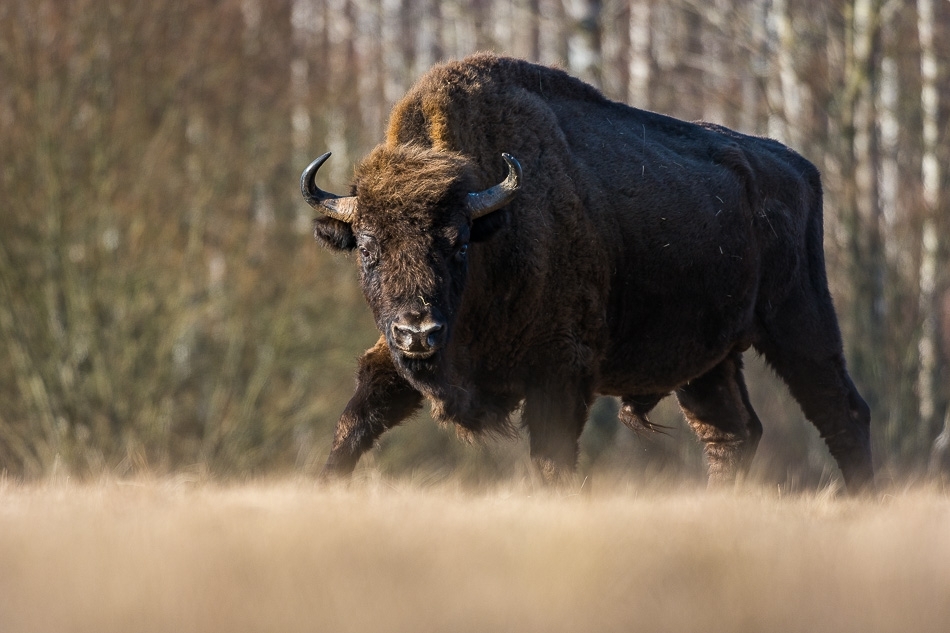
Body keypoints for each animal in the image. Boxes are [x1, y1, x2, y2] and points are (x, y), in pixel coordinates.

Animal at [300, 53, 873, 491]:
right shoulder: (393, 358)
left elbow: (552, 461)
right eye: (367, 247)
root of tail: (800, 168)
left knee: (842, 412)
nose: (417, 331)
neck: (496, 226)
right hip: (707, 360)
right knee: (733, 433)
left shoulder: (560, 371)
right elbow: (355, 420)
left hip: (799, 323)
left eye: (457, 243)